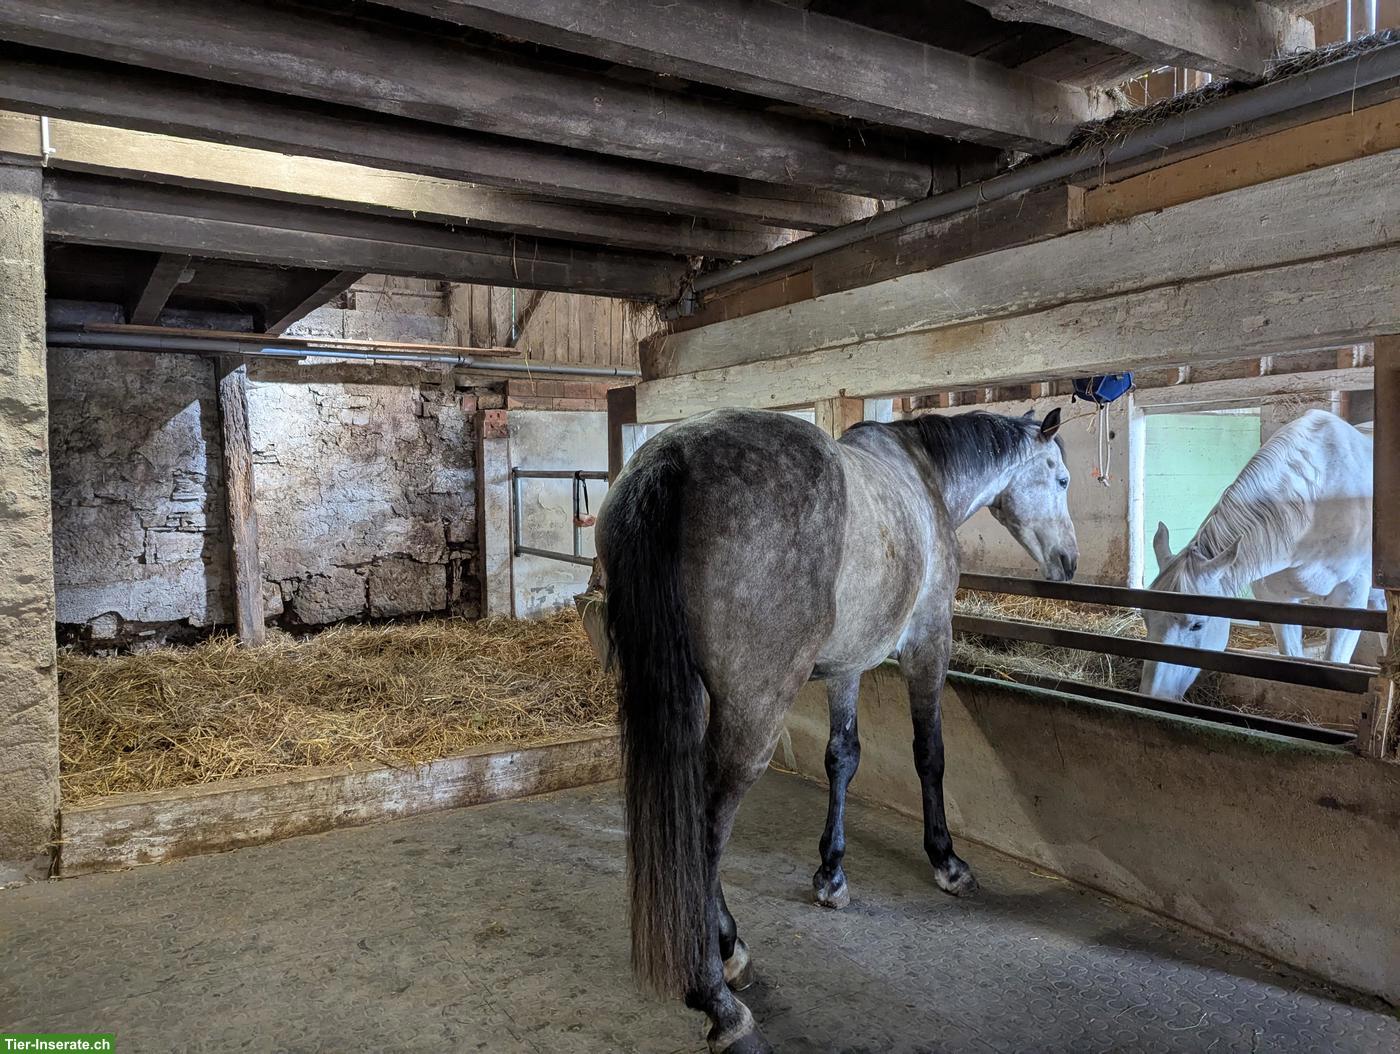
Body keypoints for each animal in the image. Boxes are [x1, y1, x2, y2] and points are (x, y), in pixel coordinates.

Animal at [596, 405, 1076, 1053]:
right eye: (1061, 479)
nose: (1069, 562)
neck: (922, 476)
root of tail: (669, 460)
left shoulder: (847, 666)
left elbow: (842, 756)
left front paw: (831, 872)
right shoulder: (929, 644)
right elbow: (930, 753)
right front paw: (946, 860)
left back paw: (731, 948)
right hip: (753, 711)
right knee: (707, 827)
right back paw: (718, 1001)